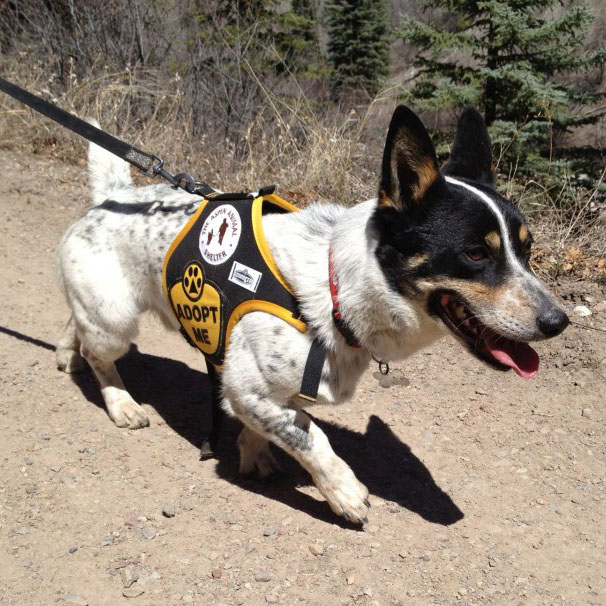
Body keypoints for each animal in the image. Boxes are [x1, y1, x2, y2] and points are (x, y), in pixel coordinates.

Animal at [55, 107, 568, 524]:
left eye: (527, 250)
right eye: (475, 254)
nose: (558, 322)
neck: (334, 284)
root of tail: (113, 196)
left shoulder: (262, 391)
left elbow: (278, 422)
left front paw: (254, 452)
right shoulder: (245, 387)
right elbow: (310, 435)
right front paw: (344, 493)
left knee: (75, 325)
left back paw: (65, 353)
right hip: (115, 319)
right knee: (102, 355)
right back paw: (121, 403)